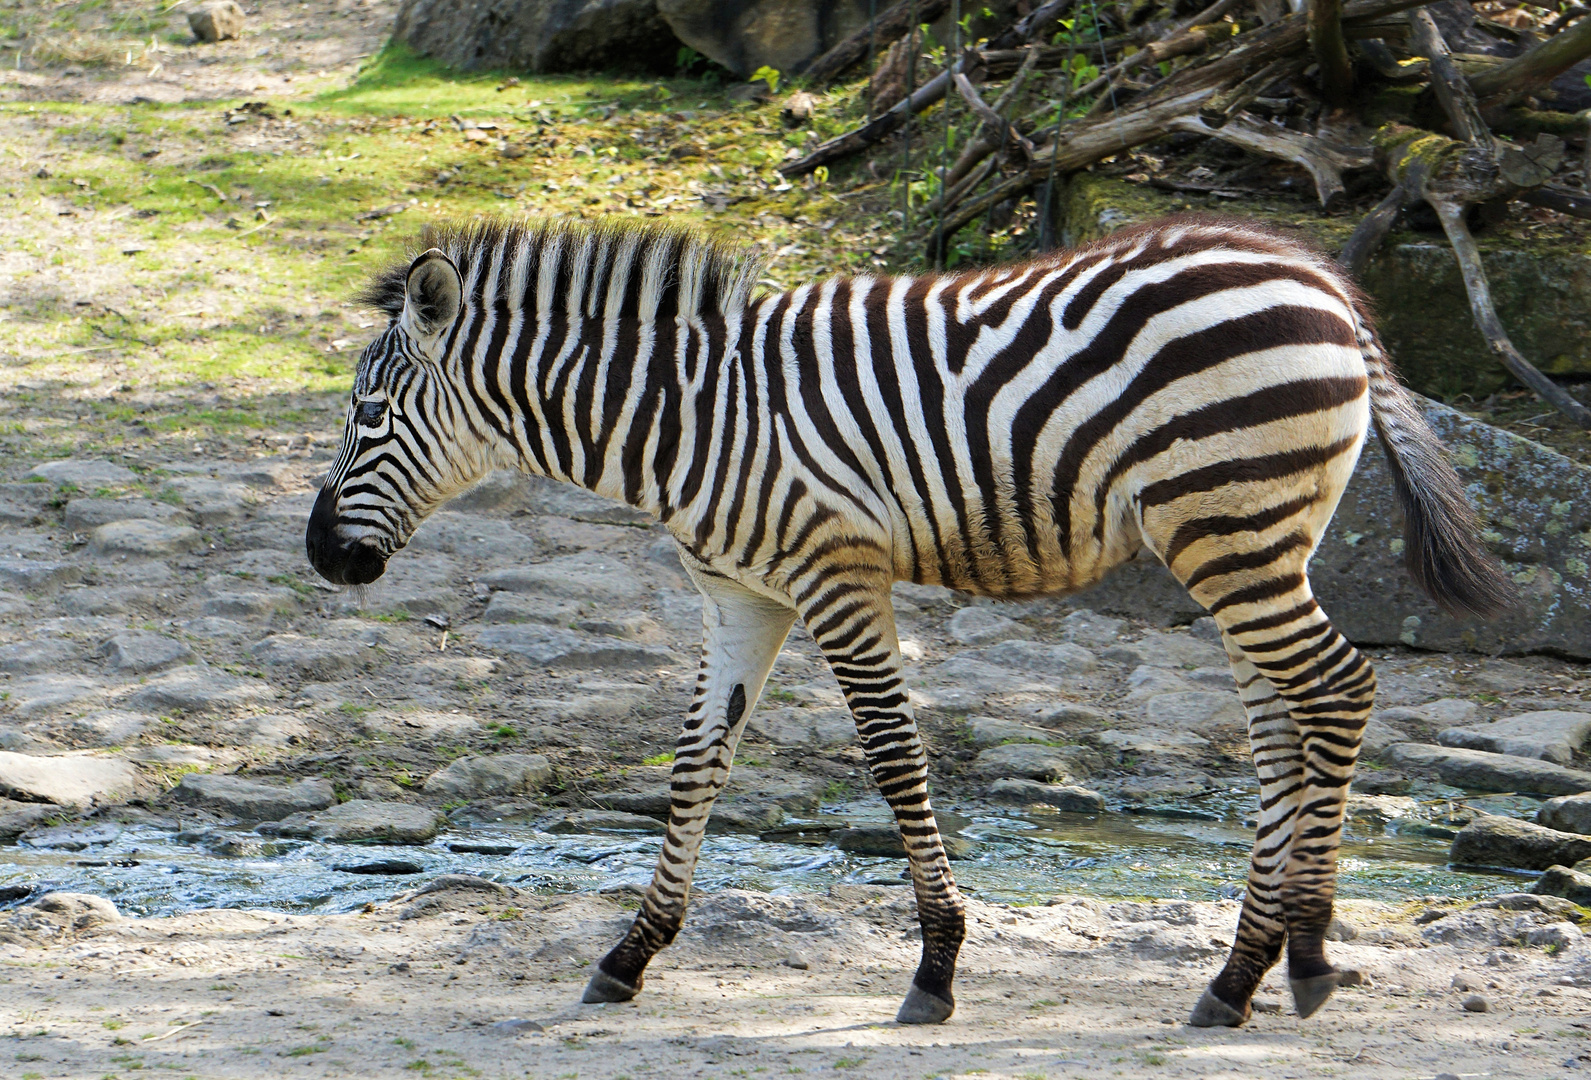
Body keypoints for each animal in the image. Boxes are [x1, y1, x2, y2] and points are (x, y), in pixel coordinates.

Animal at [303, 213, 1508, 1030]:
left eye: (368, 415)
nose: (320, 555)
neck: (689, 418)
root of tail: (1314, 275)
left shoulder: (837, 572)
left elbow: (892, 757)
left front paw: (935, 966)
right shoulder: (742, 595)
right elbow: (695, 766)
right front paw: (629, 955)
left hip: (1227, 522)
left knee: (1338, 689)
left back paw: (1292, 959)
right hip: (1253, 535)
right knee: (1280, 723)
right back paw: (1251, 969)